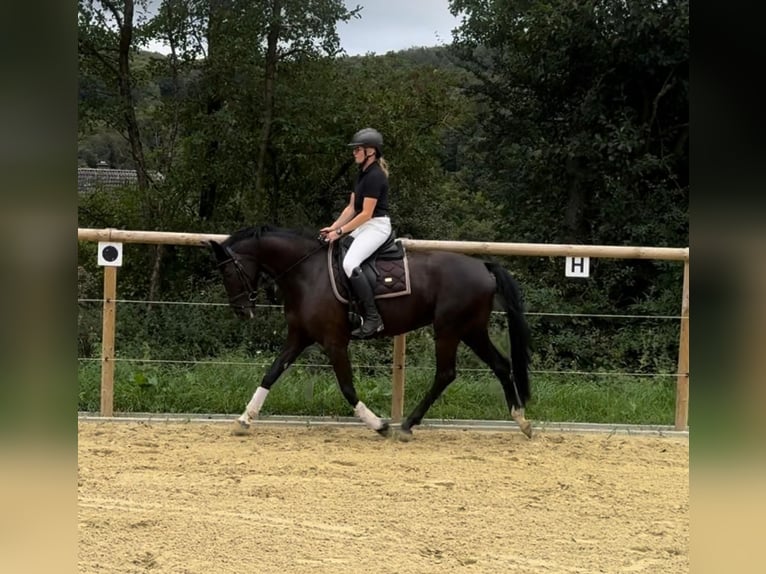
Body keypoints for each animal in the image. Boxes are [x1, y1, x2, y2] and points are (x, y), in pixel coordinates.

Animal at [210, 225, 536, 440]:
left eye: (228, 271)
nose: (241, 311)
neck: (306, 273)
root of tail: (483, 266)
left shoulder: (334, 342)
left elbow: (347, 387)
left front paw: (379, 424)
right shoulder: (299, 337)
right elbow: (271, 373)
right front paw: (244, 419)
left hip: (448, 329)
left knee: (446, 373)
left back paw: (407, 425)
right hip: (471, 329)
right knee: (500, 365)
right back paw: (521, 420)